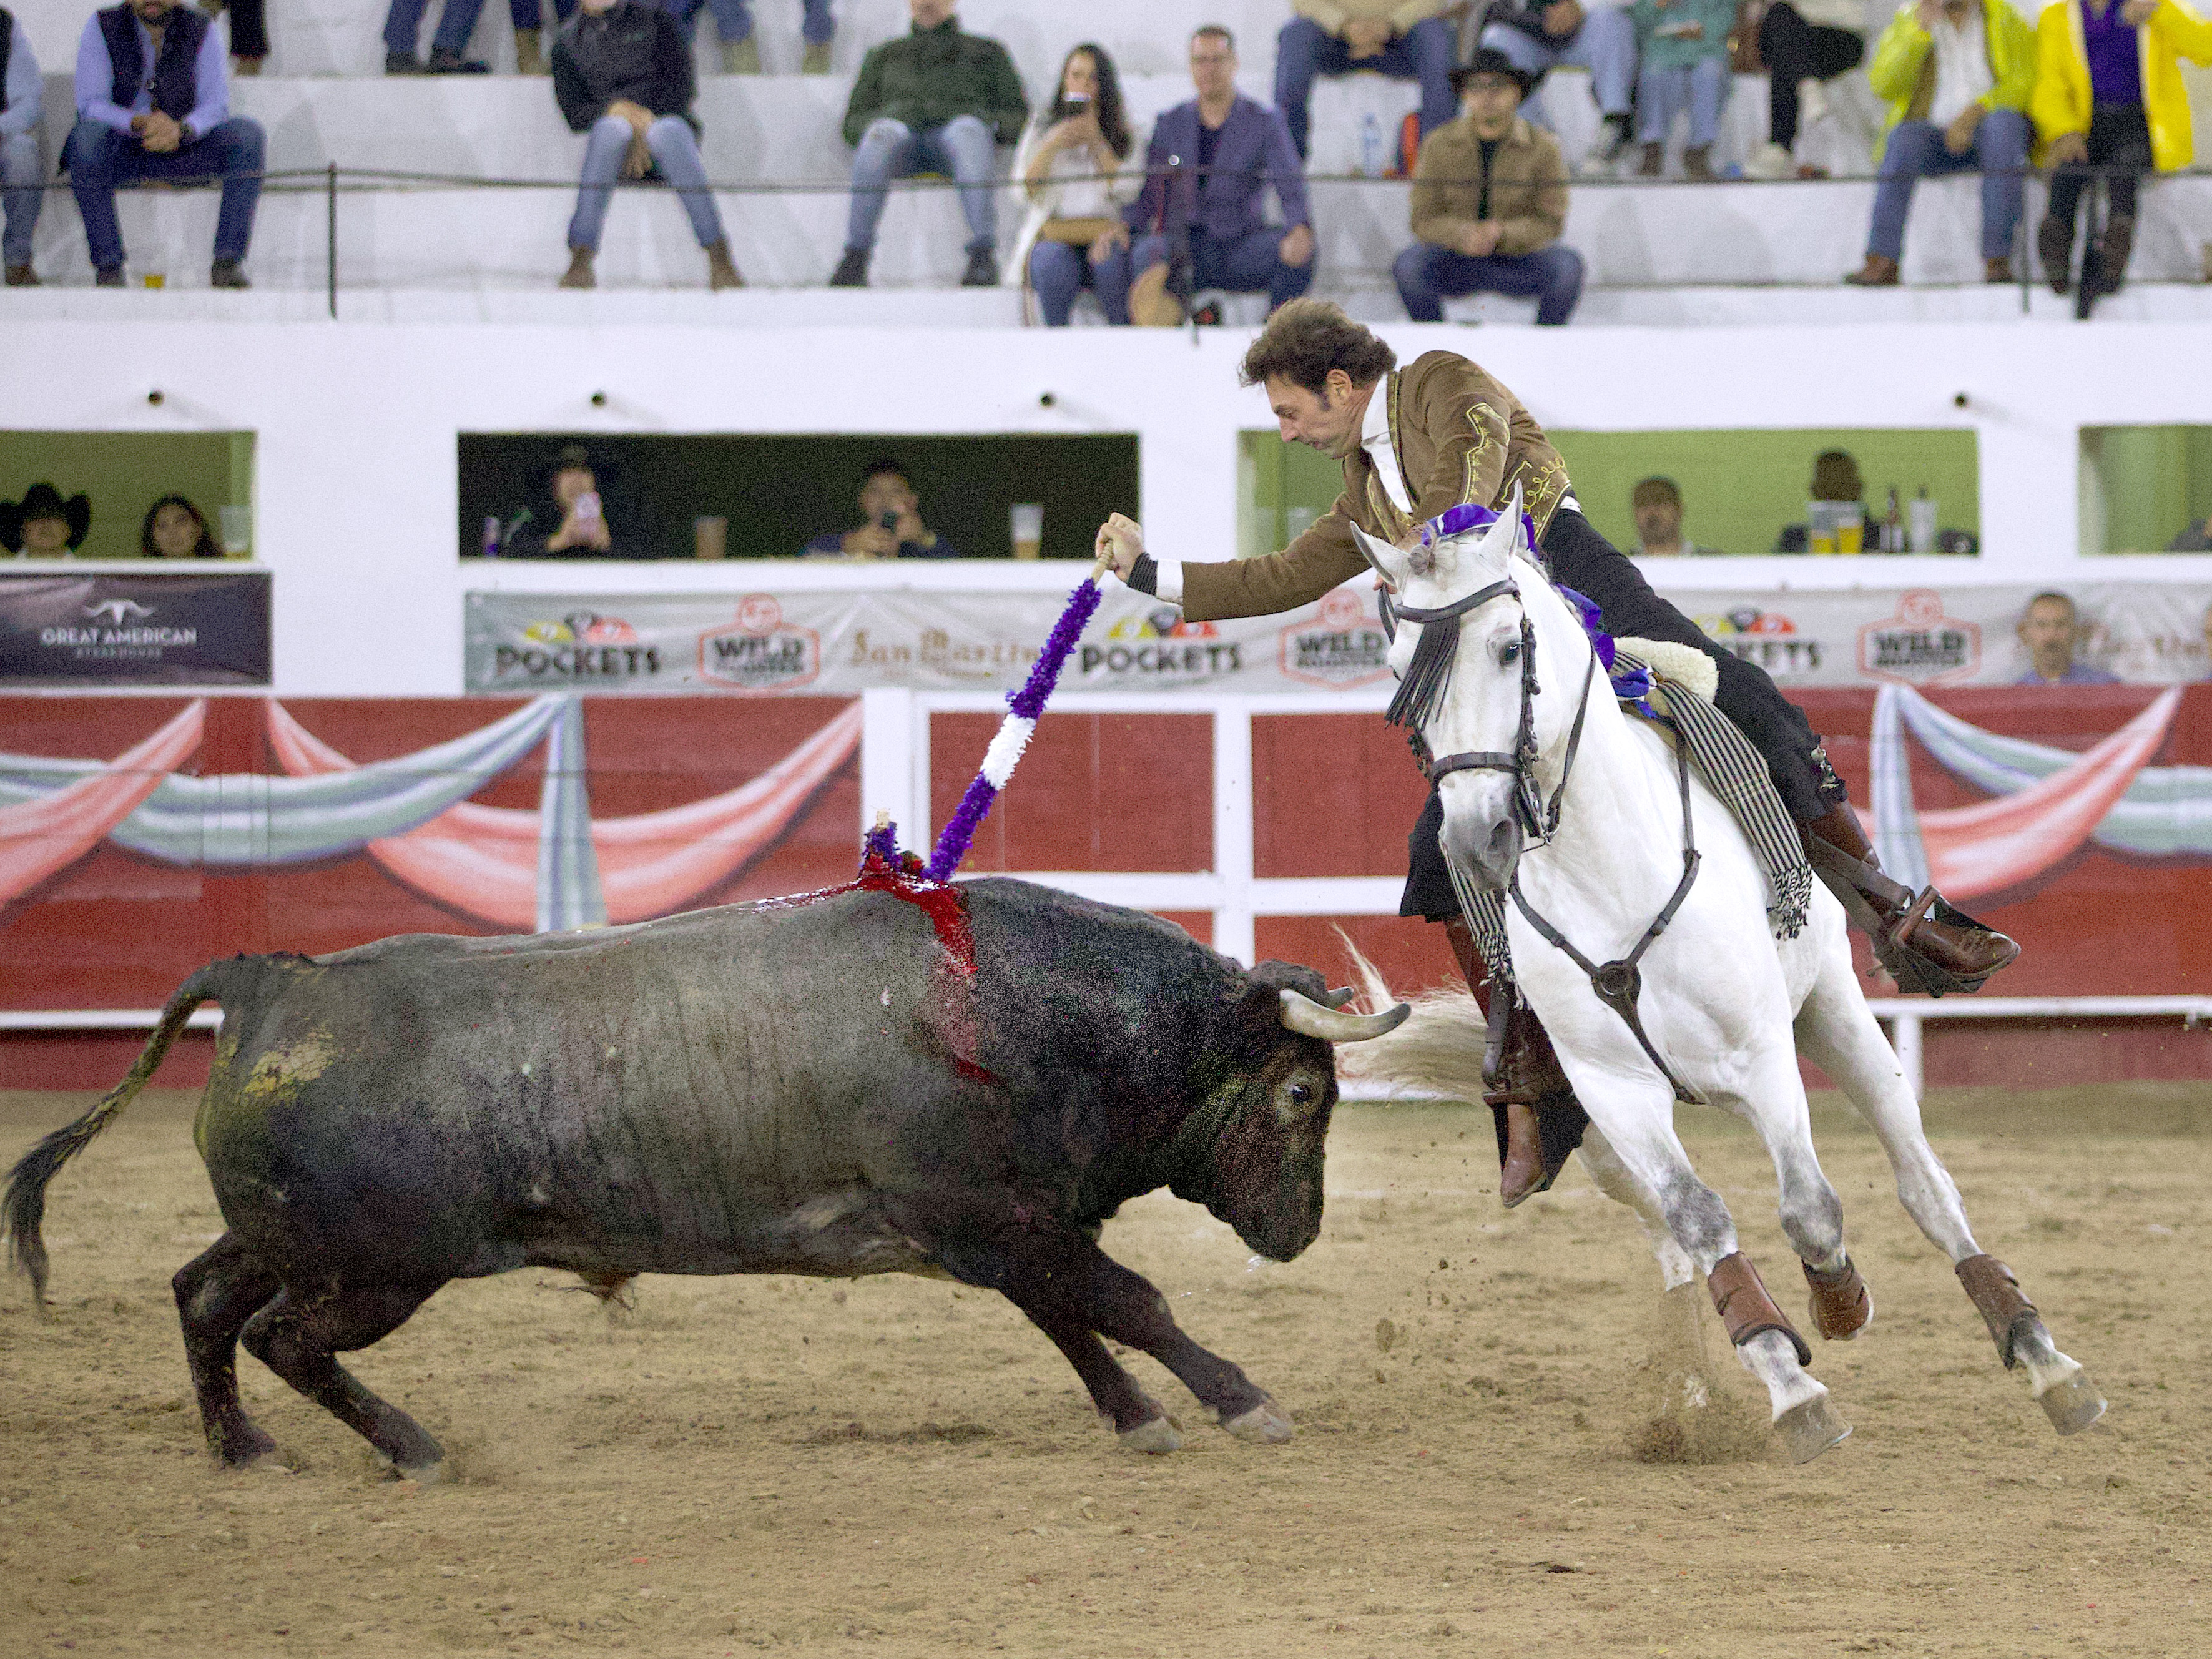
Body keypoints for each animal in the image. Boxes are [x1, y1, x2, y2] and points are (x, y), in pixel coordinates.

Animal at [4, 862, 1398, 1477]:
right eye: (1301, 1093)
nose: (1299, 1231)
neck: (1021, 1008)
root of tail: (270, 982)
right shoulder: (995, 1218)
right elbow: (1128, 1302)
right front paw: (1239, 1400)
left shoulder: (1000, 1231)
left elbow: (1073, 1321)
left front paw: (1140, 1417)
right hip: (382, 1264)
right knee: (286, 1335)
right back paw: (415, 1446)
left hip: (298, 1236)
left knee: (203, 1296)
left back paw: (244, 1451)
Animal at [1335, 498, 2096, 1469]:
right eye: (1399, 670)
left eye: (1510, 647)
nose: (1476, 840)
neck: (1603, 871)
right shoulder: (1613, 1090)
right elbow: (1699, 1220)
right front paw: (1786, 1380)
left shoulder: (1760, 1055)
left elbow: (1811, 1210)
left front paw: (1837, 1304)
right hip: (1589, 1135)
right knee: (1667, 1245)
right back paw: (1691, 1390)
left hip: (1834, 1012)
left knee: (1923, 1182)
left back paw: (2044, 1358)